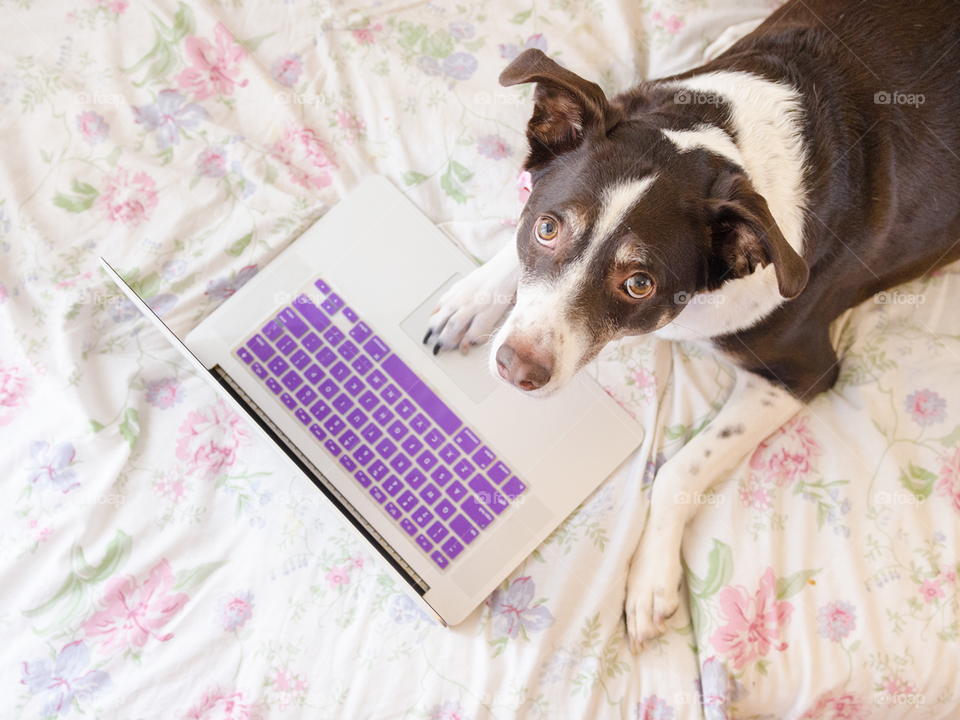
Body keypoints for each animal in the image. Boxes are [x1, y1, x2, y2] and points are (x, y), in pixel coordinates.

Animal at [424, 0, 960, 652]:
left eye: (639, 285)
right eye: (548, 228)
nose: (515, 369)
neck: (724, 146)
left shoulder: (802, 370)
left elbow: (680, 466)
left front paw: (651, 581)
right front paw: (475, 296)